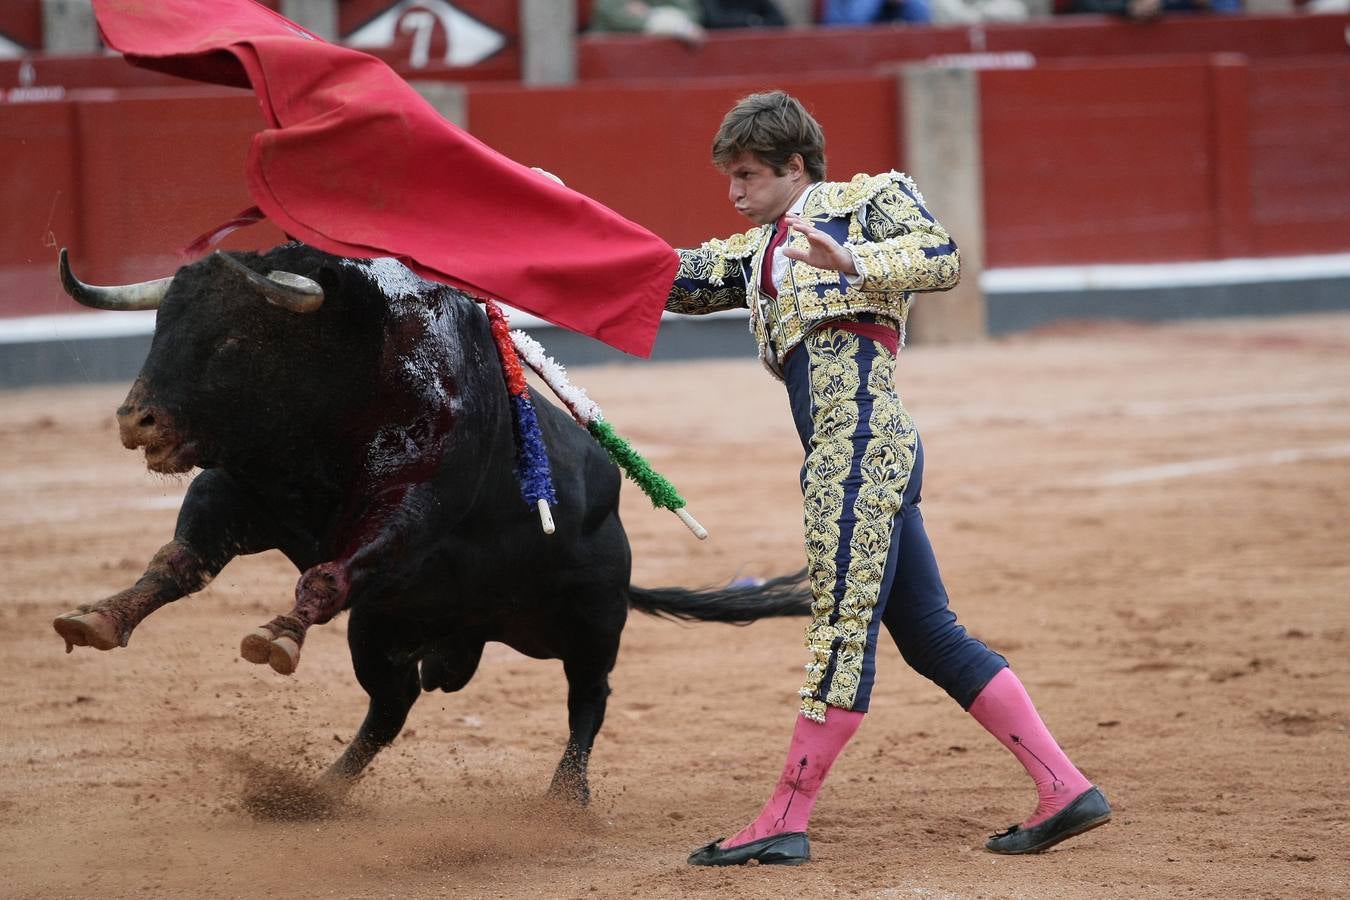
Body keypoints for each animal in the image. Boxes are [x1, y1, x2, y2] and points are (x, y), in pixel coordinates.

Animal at [52, 244, 804, 804]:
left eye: (235, 338)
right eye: (161, 327)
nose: (136, 420)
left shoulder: (407, 513)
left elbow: (326, 575)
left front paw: (276, 635)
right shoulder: (238, 491)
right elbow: (179, 562)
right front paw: (98, 619)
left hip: (592, 620)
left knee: (588, 698)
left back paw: (565, 801)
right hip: (381, 629)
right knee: (393, 705)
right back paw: (314, 795)